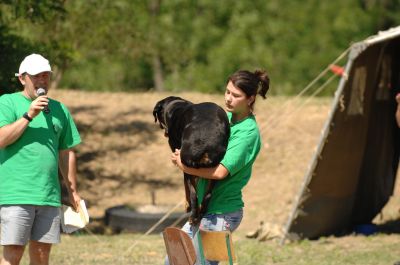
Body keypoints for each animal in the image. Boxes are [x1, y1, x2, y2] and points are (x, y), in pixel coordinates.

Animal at [152, 96, 230, 224]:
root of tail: (206, 142)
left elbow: (187, 188)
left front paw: (187, 205)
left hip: (186, 164)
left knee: (193, 194)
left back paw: (193, 216)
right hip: (214, 170)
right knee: (208, 194)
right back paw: (201, 212)